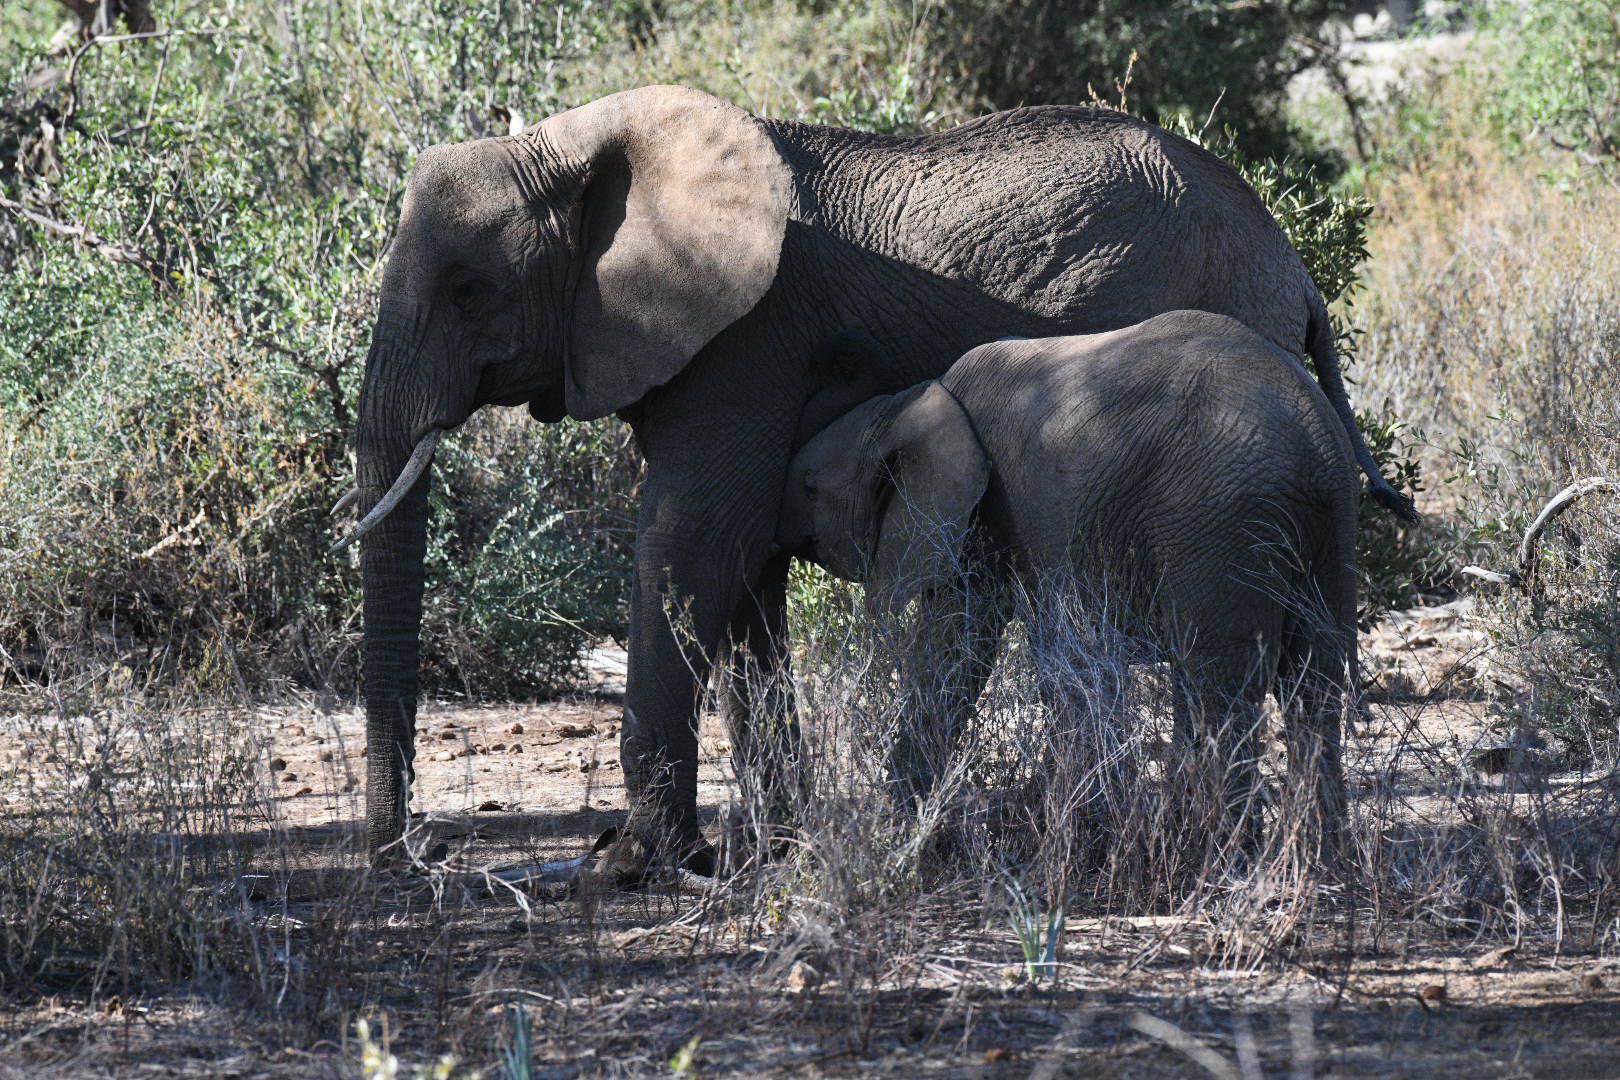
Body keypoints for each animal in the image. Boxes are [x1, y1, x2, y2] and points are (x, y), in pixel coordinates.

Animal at [777, 310, 1360, 841]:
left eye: (809, 487)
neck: (909, 404)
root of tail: (1309, 437)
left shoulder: (989, 512)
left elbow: (960, 641)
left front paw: (899, 829)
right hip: (1327, 524)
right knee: (1315, 682)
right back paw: (1318, 863)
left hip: (1219, 520)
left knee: (1221, 687)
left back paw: (1224, 859)